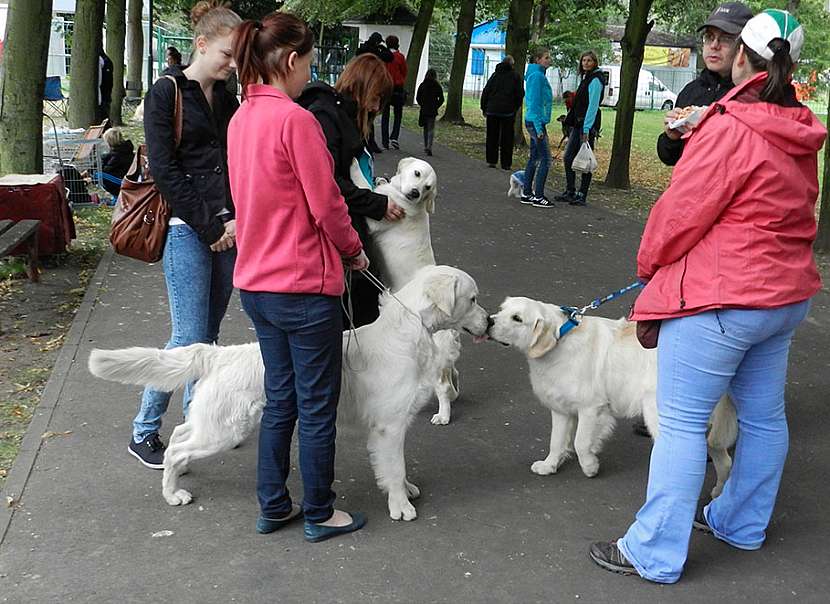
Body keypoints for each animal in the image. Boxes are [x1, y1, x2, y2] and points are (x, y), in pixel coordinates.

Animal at [89, 266, 494, 520]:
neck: (409, 332)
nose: (490, 322)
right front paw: (401, 505)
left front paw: (407, 490)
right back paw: (172, 493)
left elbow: (399, 466)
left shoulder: (395, 426)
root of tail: (219, 353)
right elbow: (394, 468)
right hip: (226, 428)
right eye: (473, 299)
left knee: (179, 434)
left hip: (216, 420)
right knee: (176, 447)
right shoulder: (388, 427)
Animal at [490, 294, 736, 498]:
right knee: (725, 460)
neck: (559, 342)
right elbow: (556, 441)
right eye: (501, 310)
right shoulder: (561, 410)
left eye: (517, 318)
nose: (489, 321)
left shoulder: (591, 408)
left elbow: (580, 442)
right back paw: (718, 494)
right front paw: (549, 465)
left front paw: (590, 466)